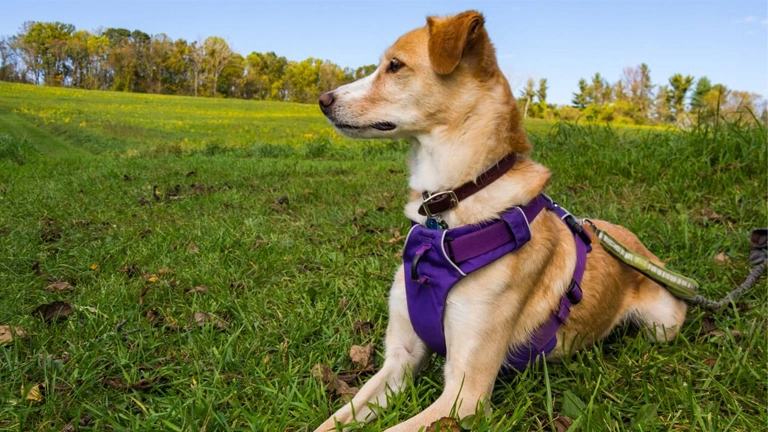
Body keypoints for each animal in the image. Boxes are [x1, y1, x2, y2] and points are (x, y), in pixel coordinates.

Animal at [316, 10, 688, 432]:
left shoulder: (465, 394)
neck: (449, 210)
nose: (322, 100)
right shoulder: (400, 359)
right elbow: (333, 422)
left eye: (395, 66)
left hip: (663, 325)